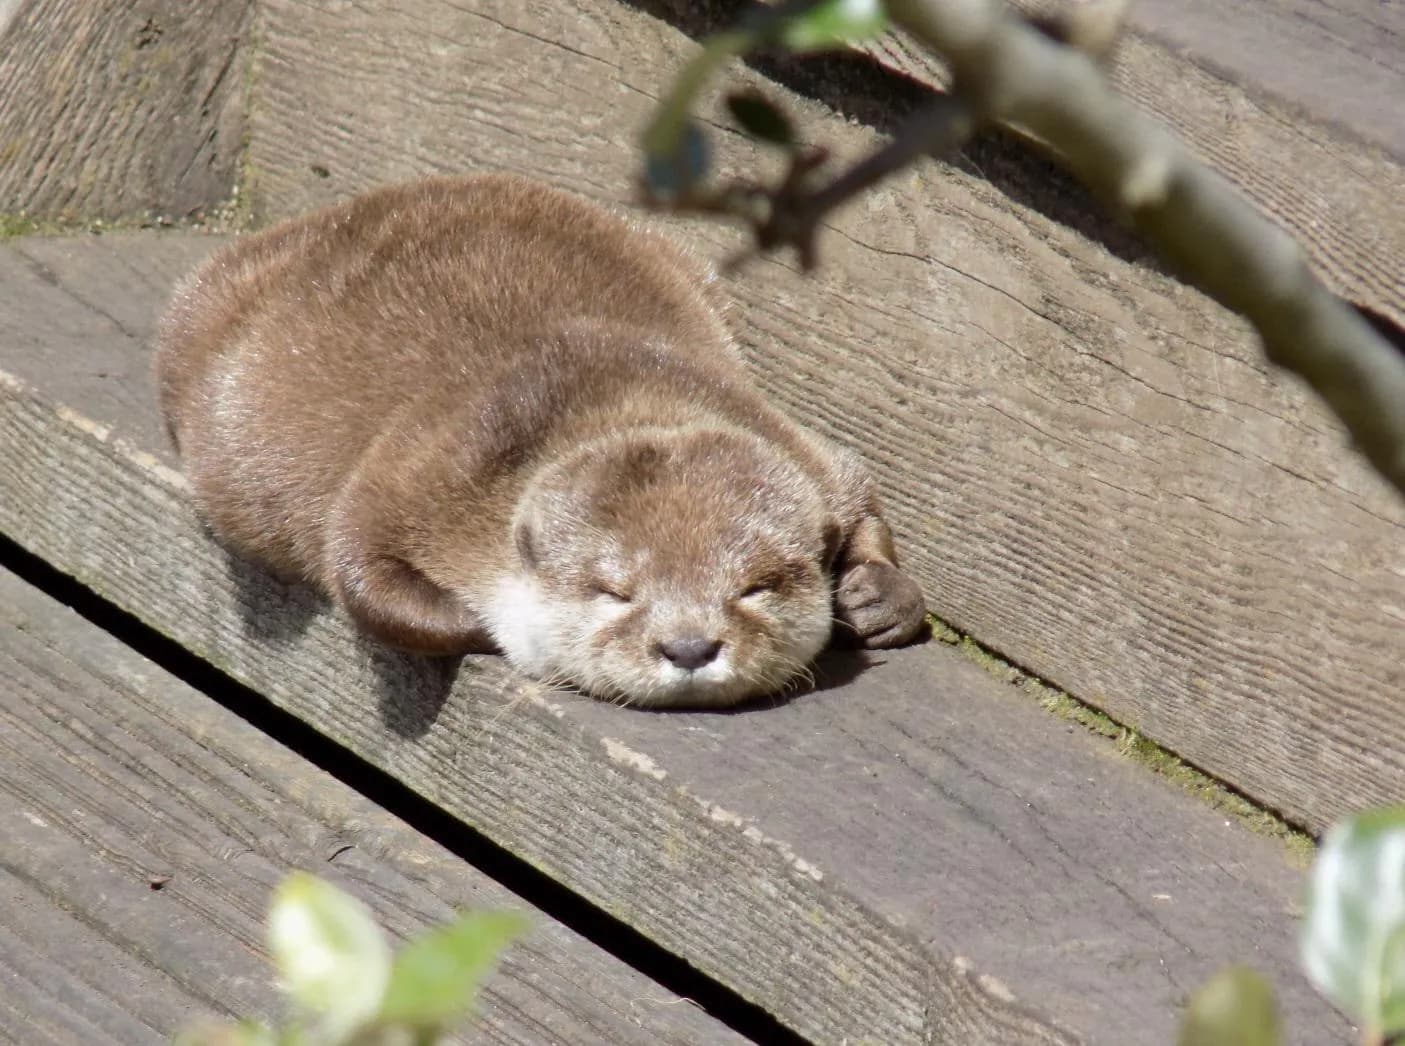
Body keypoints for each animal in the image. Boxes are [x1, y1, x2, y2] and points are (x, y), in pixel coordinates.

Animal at [155, 173, 925, 707]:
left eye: (754, 587)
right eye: (613, 591)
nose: (688, 646)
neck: (611, 394)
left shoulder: (801, 451)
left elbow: (862, 496)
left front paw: (876, 597)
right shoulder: (424, 468)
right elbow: (357, 569)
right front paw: (482, 626)